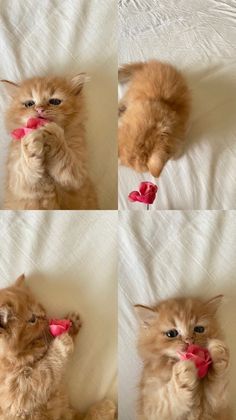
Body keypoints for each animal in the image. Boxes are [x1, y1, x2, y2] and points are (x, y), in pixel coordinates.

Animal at [0, 74, 97, 210]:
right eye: (29, 104)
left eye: (55, 102)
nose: (39, 109)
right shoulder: (18, 182)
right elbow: (25, 168)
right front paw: (30, 142)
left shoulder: (77, 176)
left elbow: (63, 155)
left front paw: (52, 132)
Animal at [0, 276, 116, 420]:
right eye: (32, 319)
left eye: (39, 305)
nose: (44, 315)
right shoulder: (24, 387)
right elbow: (50, 364)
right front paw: (62, 340)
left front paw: (71, 324)